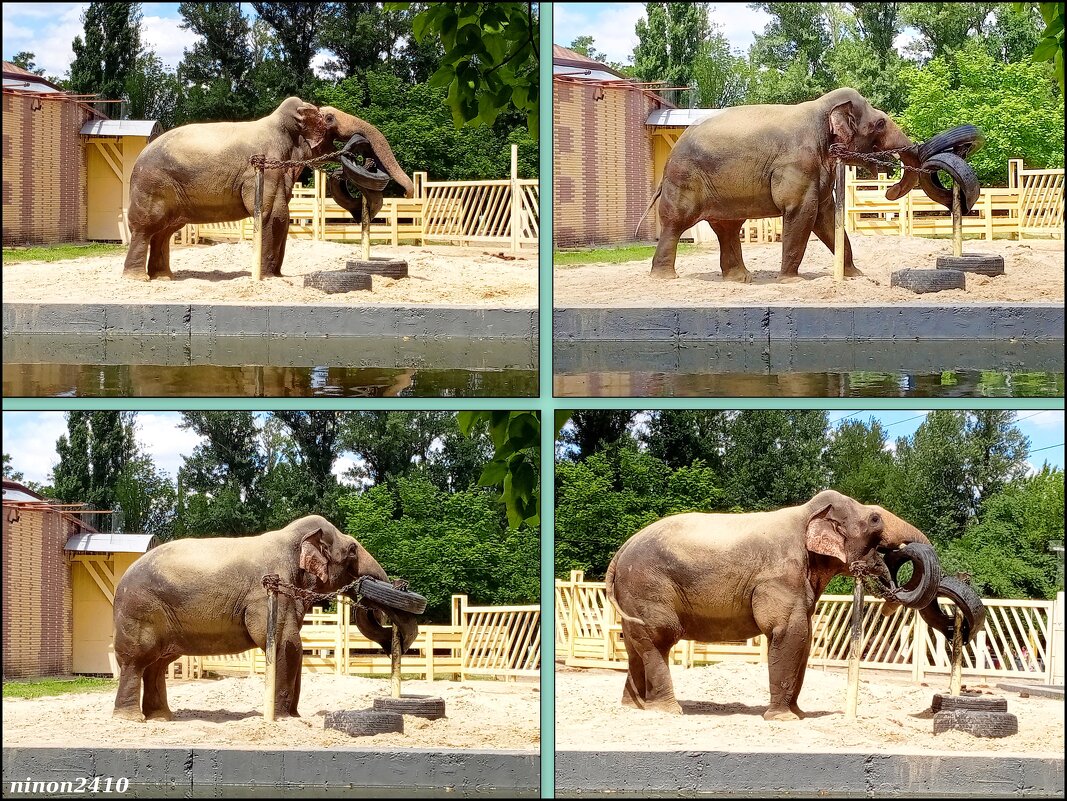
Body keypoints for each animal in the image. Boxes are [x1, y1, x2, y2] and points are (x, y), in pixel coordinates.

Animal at [112, 516, 416, 725]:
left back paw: (162, 718)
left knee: (157, 664)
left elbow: (295, 647)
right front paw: (282, 718)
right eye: (352, 550)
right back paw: (131, 719)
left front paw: (294, 718)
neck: (291, 540)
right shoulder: (268, 591)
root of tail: (122, 579)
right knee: (136, 661)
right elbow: (287, 644)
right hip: (140, 611)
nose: (378, 592)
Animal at [121, 98, 411, 281]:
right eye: (329, 118)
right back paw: (138, 279)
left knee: (164, 232)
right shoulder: (266, 166)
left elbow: (284, 215)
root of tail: (138, 158)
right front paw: (268, 277)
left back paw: (164, 278)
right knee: (147, 228)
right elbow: (276, 214)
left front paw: (276, 276)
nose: (408, 193)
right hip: (152, 186)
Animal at [610, 492, 981, 725]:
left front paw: (799, 717)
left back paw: (635, 708)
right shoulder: (780, 576)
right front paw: (783, 719)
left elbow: (805, 636)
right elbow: (789, 631)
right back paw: (668, 712)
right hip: (647, 586)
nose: (957, 627)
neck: (808, 514)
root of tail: (619, 553)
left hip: (633, 595)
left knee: (637, 645)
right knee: (659, 639)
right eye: (875, 519)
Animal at [640, 86, 926, 281]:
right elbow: (801, 212)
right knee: (677, 223)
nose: (890, 190)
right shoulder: (798, 164)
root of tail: (670, 157)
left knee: (727, 228)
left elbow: (825, 217)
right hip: (684, 179)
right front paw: (791, 280)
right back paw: (664, 277)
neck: (819, 110)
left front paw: (856, 276)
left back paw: (741, 279)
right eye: (879, 123)